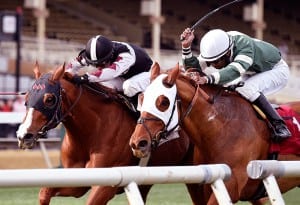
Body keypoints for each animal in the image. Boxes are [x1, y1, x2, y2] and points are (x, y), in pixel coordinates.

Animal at [15, 63, 204, 205]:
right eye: (27, 96)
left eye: (49, 99)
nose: (24, 135)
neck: (92, 132)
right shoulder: (77, 180)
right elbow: (44, 192)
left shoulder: (106, 185)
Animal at [129, 62, 300, 205]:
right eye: (142, 98)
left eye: (164, 102)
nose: (138, 143)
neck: (222, 127)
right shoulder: (205, 186)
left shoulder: (231, 185)